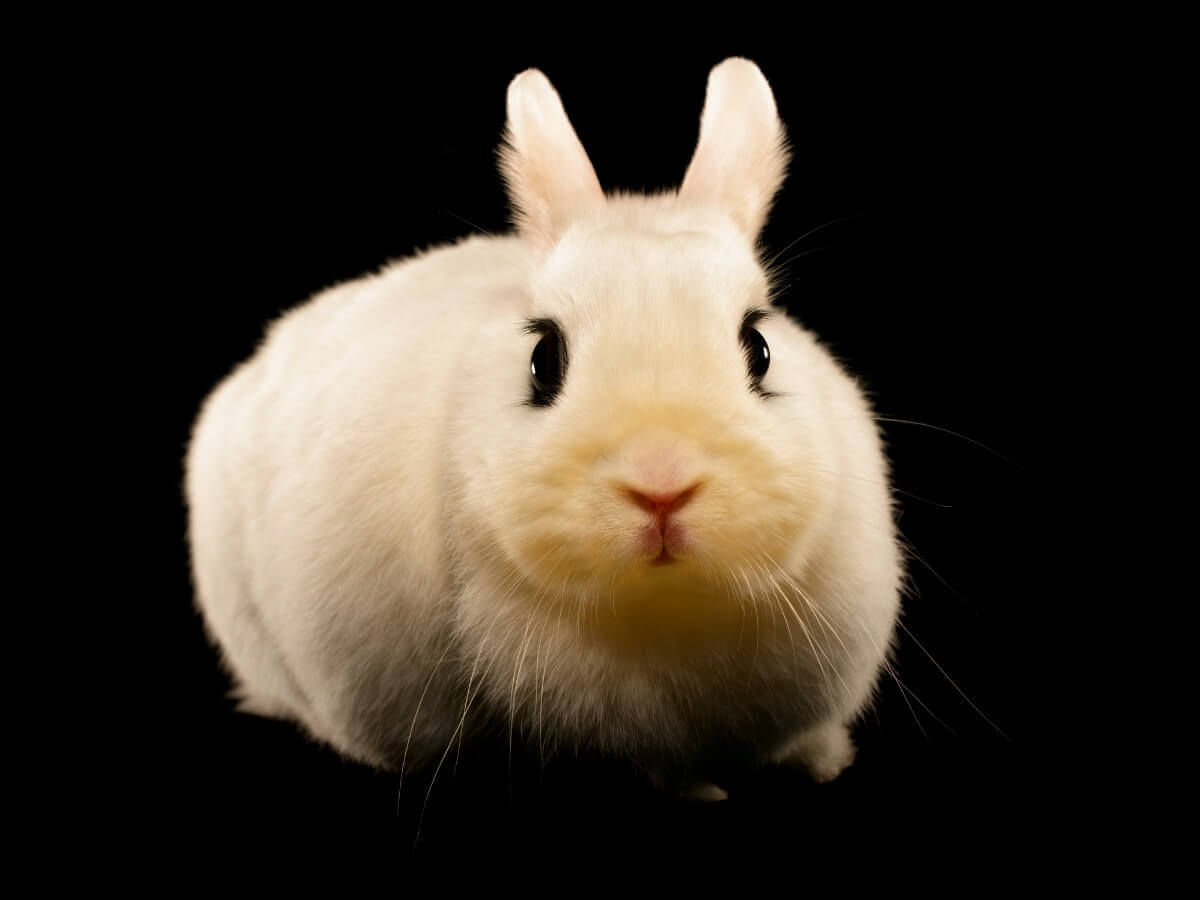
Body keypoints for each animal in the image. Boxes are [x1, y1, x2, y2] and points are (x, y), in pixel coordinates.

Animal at [185, 57, 903, 799]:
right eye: (543, 359)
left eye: (758, 347)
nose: (661, 484)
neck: (669, 608)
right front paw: (700, 790)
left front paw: (823, 760)